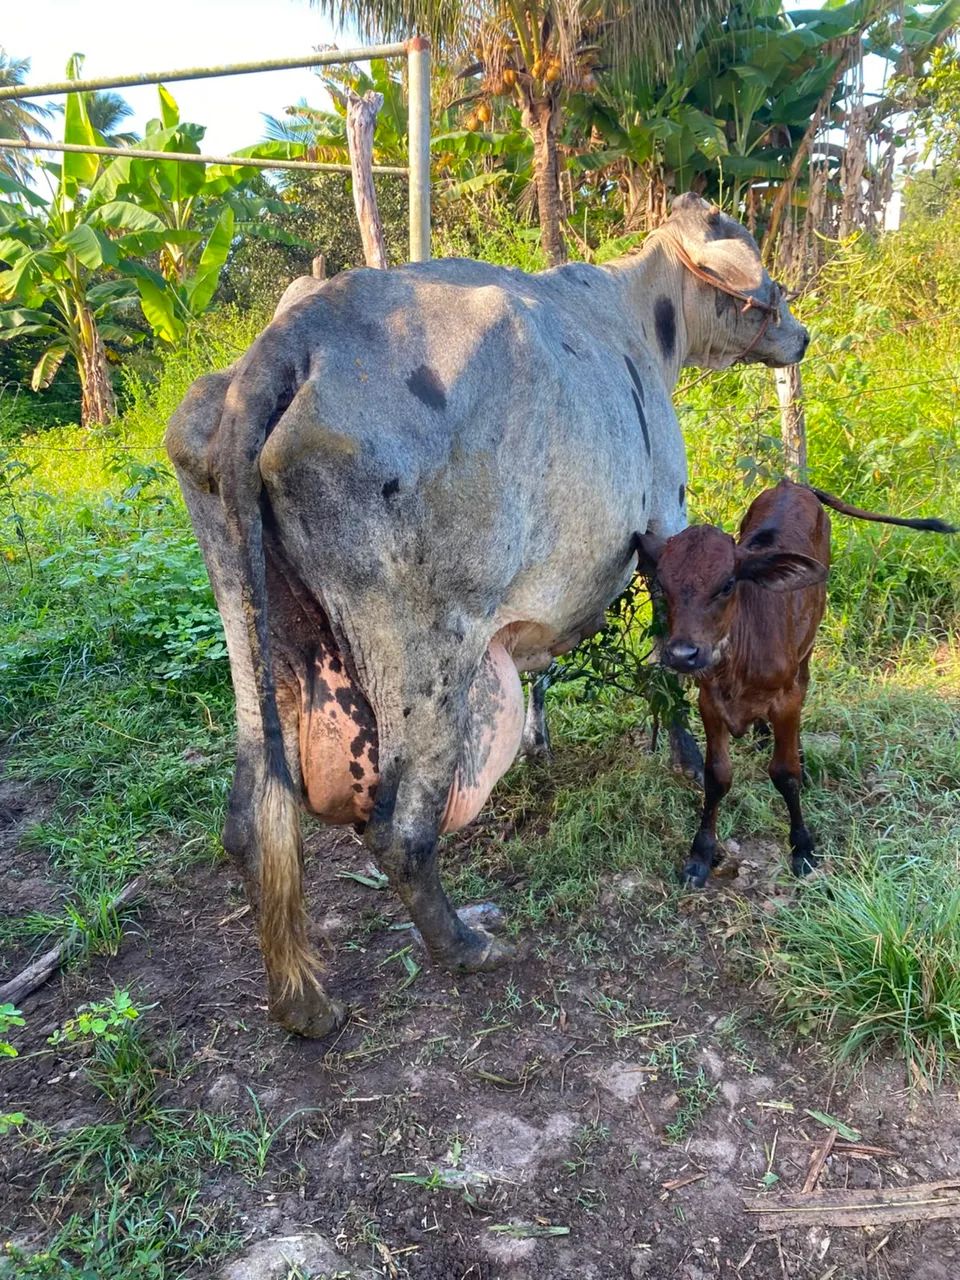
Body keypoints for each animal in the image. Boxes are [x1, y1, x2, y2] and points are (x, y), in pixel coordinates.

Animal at [165, 193, 809, 1038]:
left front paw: (541, 744)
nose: (802, 336)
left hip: (252, 627)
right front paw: (685, 755)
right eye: (767, 281)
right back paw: (468, 947)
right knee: (399, 831)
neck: (638, 316)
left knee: (250, 817)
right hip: (432, 656)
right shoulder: (663, 523)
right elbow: (668, 666)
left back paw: (303, 1001)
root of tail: (288, 342)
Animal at [638, 479, 957, 888]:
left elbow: (785, 773)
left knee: (805, 685)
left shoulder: (785, 699)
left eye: (727, 585)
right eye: (663, 584)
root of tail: (792, 483)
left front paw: (802, 846)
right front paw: (700, 854)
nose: (682, 654)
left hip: (809, 641)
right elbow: (717, 777)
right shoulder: (709, 701)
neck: (738, 660)